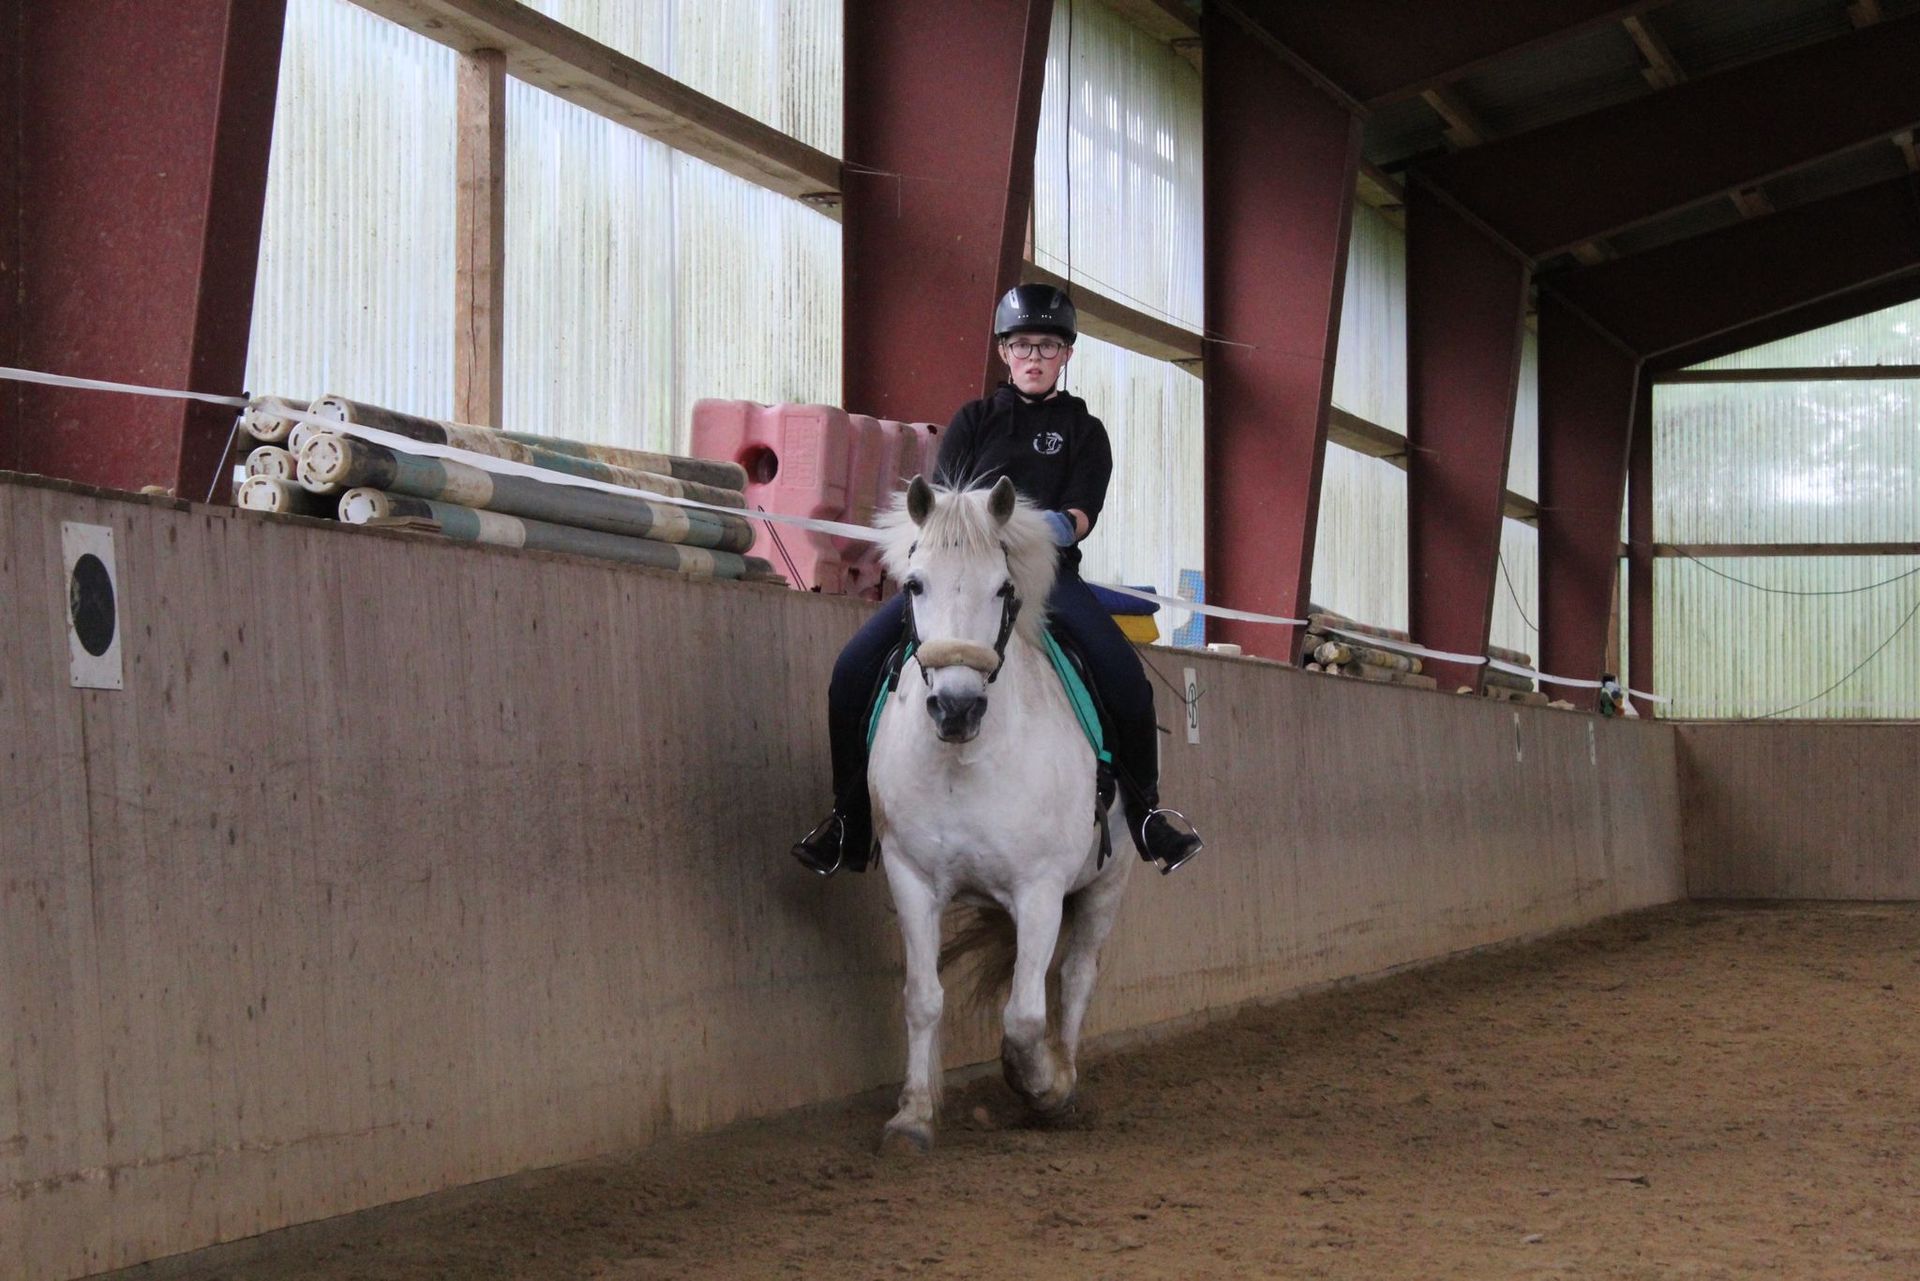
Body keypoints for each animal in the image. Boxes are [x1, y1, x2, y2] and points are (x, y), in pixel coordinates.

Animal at [866, 475, 1134, 1153]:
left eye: (1003, 588)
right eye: (915, 584)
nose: (956, 709)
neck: (965, 761)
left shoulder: (1040, 890)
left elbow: (1024, 1016)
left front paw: (1043, 1087)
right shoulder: (911, 880)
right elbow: (922, 998)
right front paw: (913, 1116)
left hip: (1107, 884)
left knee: (1076, 977)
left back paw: (1065, 1076)